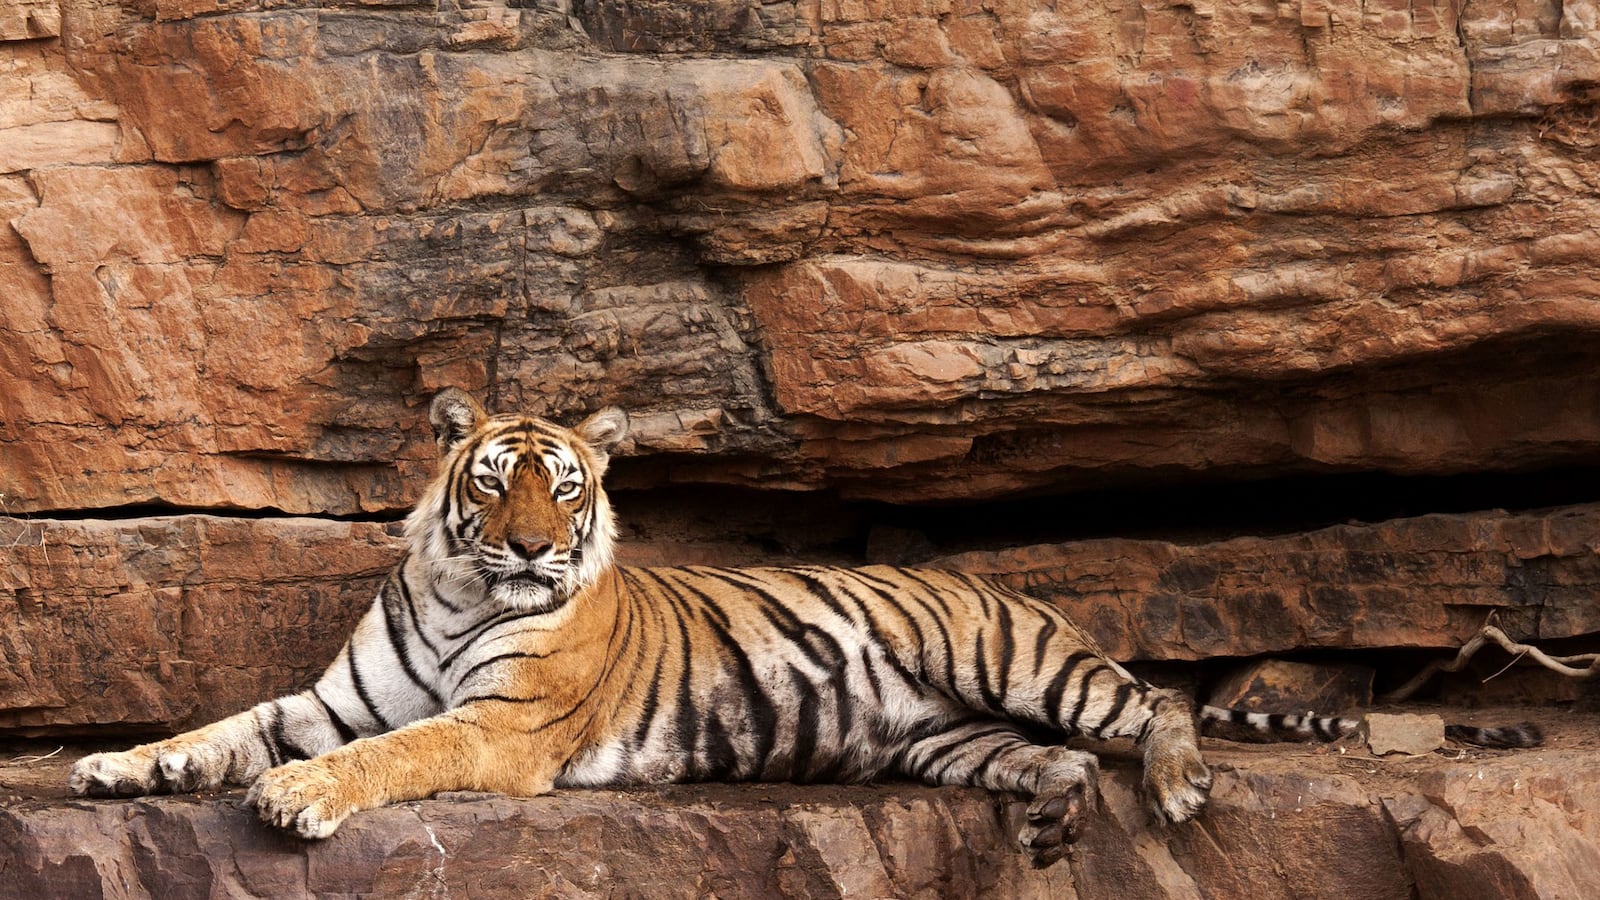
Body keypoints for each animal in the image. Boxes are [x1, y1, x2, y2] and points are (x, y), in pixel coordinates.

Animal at [68, 388, 1522, 866]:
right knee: (1047, 761)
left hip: (1019, 661)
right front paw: (117, 766)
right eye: (494, 481)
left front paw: (296, 802)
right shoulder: (332, 697)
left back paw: (1170, 785)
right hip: (941, 740)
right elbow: (226, 726)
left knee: (1153, 704)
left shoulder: (497, 728)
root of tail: (996, 583)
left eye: (567, 486)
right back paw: (1054, 822)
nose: (533, 547)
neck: (459, 585)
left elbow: (385, 758)